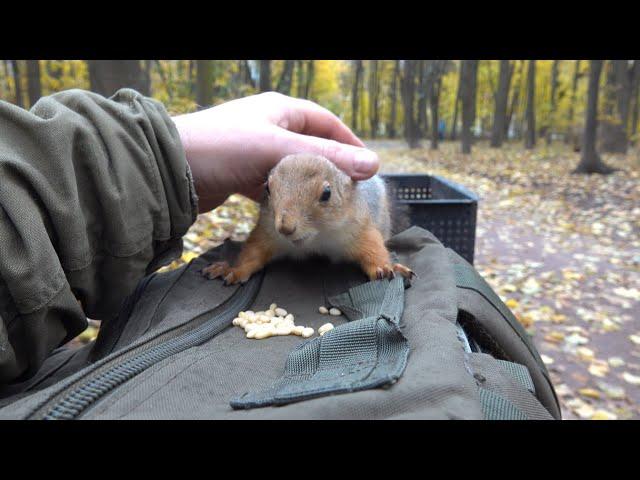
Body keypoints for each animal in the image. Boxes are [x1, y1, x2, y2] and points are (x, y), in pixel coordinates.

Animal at [202, 153, 418, 284]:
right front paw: (233, 270)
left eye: (327, 193)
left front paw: (386, 267)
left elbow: (373, 250)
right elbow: (253, 253)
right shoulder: (267, 232)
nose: (285, 228)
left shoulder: (359, 229)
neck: (317, 238)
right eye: (267, 188)